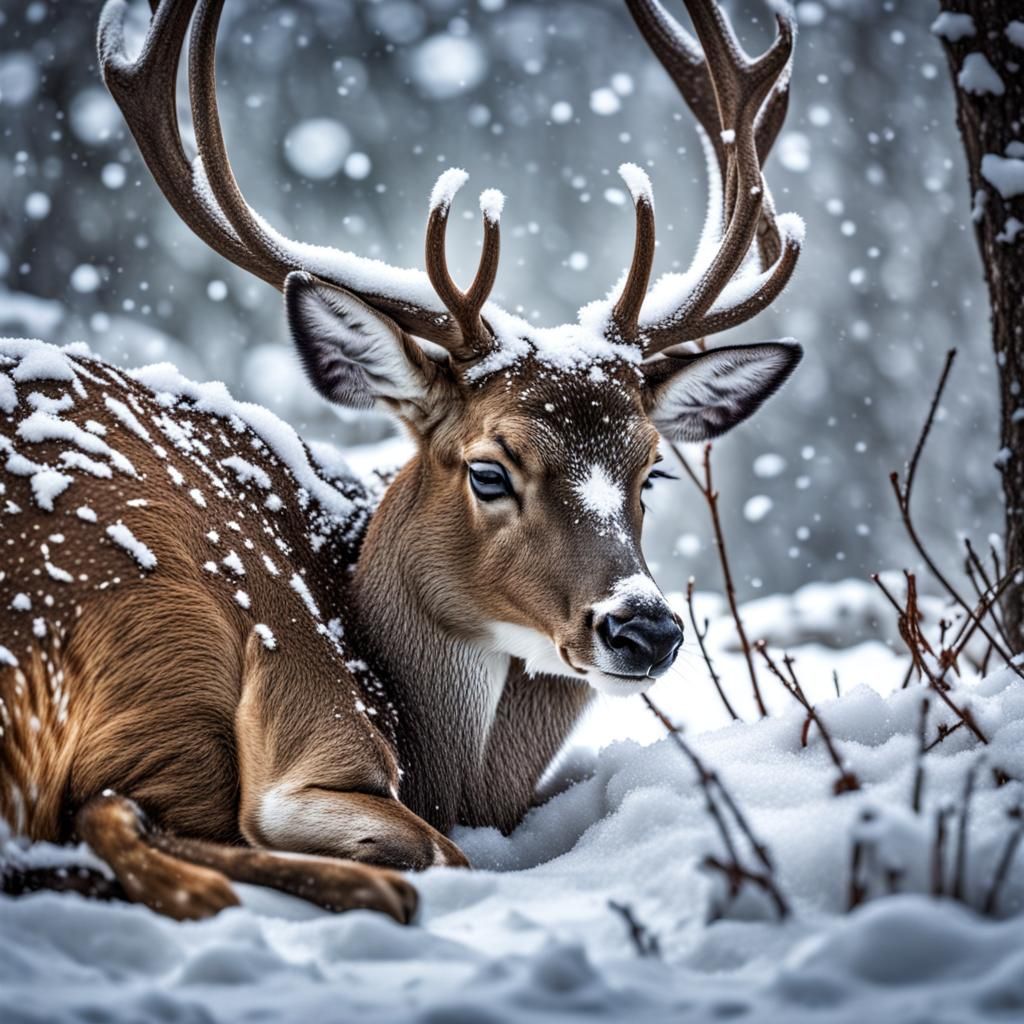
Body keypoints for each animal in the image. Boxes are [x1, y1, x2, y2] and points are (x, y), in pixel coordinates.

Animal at [0, 0, 803, 923]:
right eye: (490, 469)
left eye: (653, 473)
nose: (645, 626)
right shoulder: (306, 718)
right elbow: (406, 836)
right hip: (160, 618)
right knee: (109, 811)